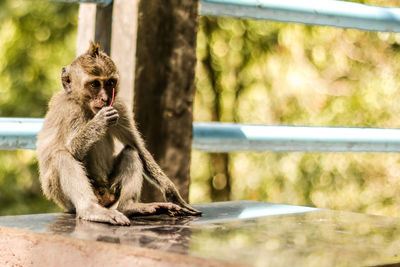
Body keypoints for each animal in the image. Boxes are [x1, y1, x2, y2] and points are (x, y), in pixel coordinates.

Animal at [35, 42, 200, 226]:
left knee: (131, 152)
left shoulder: (119, 107)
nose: (104, 98)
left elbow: (137, 147)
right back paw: (91, 210)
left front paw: (173, 194)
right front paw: (99, 123)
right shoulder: (71, 111)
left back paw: (130, 206)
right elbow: (70, 151)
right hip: (63, 197)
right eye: (95, 84)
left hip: (110, 189)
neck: (84, 105)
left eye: (110, 83)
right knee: (61, 156)